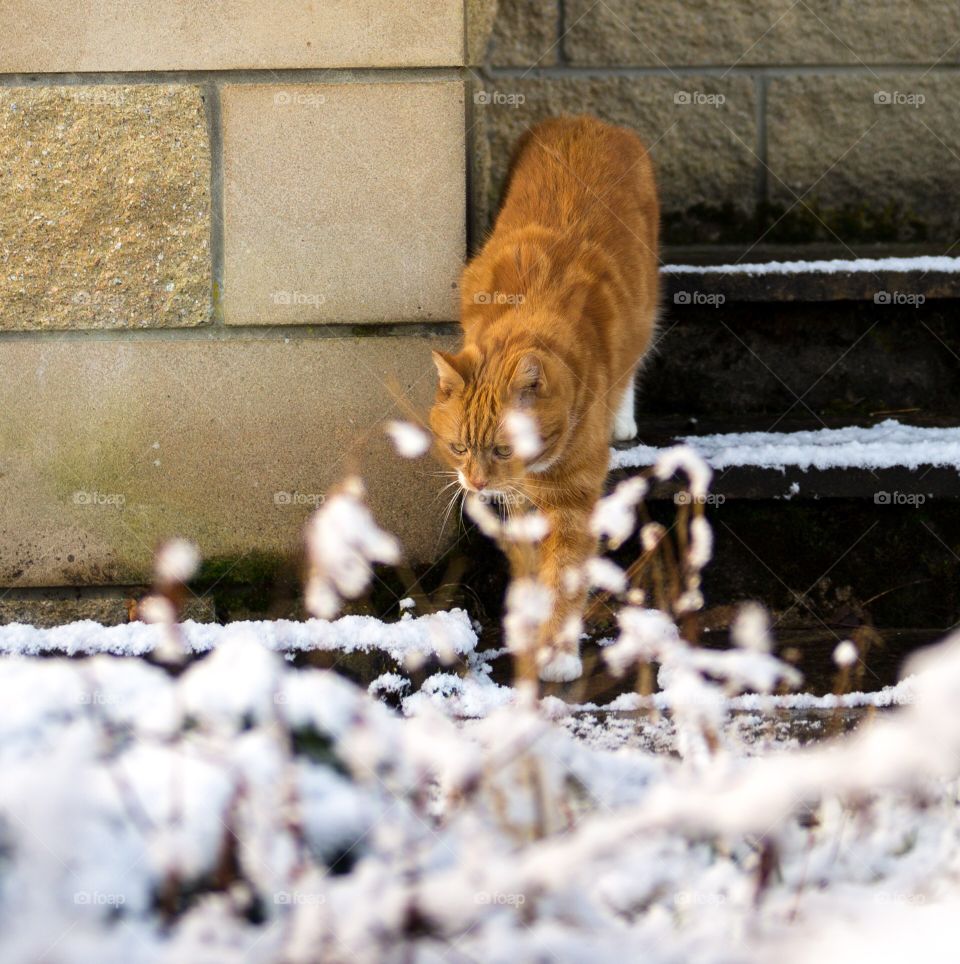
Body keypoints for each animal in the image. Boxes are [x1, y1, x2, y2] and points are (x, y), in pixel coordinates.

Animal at [430, 116, 660, 680]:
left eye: (504, 448)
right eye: (459, 448)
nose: (476, 483)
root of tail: (586, 120)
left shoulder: (574, 498)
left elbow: (564, 576)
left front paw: (556, 654)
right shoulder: (519, 500)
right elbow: (532, 567)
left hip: (645, 308)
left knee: (635, 361)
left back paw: (622, 417)